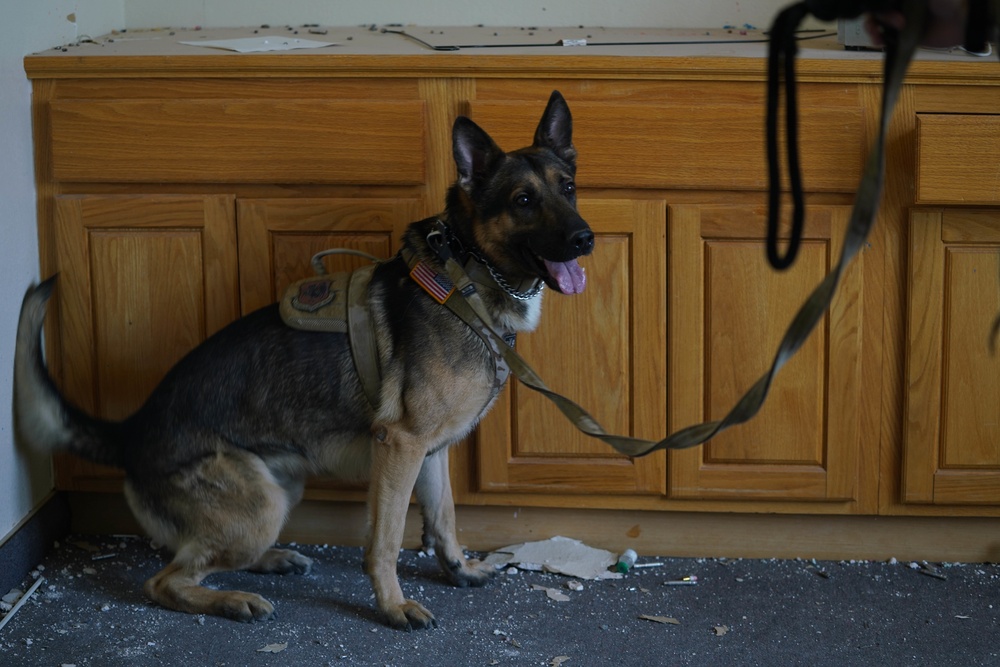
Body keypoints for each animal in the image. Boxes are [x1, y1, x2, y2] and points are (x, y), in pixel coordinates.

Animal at [11, 90, 592, 632]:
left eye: (567, 187)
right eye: (523, 199)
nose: (586, 238)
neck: (466, 273)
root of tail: (130, 430)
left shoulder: (429, 451)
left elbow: (445, 514)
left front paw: (458, 568)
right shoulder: (400, 446)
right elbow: (385, 541)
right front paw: (393, 605)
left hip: (279, 488)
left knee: (198, 556)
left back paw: (270, 561)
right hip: (263, 503)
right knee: (165, 580)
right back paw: (233, 599)